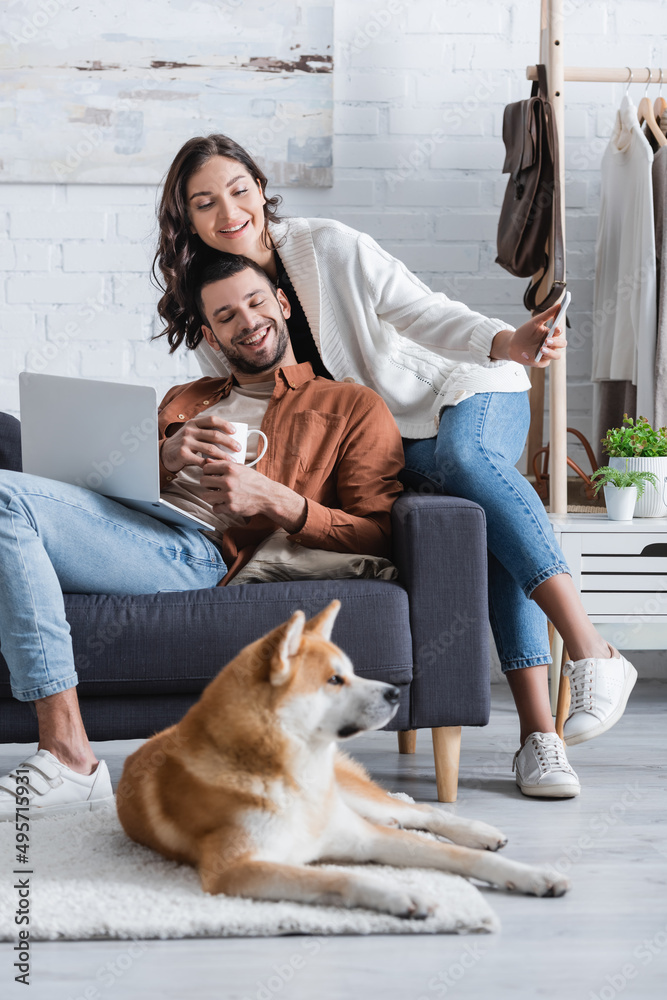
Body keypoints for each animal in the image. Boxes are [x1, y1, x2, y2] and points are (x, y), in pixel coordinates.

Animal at [117, 600, 572, 916]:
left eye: (350, 672)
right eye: (334, 680)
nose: (395, 692)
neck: (296, 778)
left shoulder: (365, 837)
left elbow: (459, 856)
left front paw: (531, 875)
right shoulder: (235, 868)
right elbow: (343, 875)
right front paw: (401, 892)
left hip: (357, 796)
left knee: (422, 812)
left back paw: (478, 830)